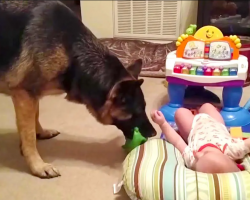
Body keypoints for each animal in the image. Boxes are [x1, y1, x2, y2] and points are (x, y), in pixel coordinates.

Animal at [0, 0, 156, 177]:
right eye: (137, 111)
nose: (155, 134)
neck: (71, 51)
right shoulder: (24, 94)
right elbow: (29, 135)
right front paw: (37, 166)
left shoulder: (33, 94)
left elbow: (35, 117)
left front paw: (40, 132)